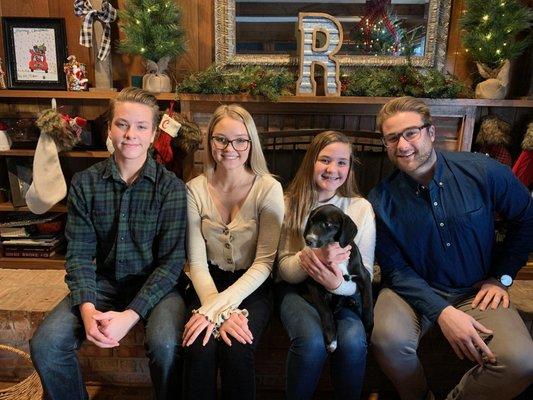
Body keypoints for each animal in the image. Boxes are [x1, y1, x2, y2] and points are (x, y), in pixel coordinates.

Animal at [302, 205, 372, 352]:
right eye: (311, 221)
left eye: (328, 224)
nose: (308, 240)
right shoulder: (312, 282)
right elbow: (325, 311)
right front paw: (332, 339)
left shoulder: (365, 277)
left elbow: (368, 306)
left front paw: (368, 330)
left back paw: (350, 301)